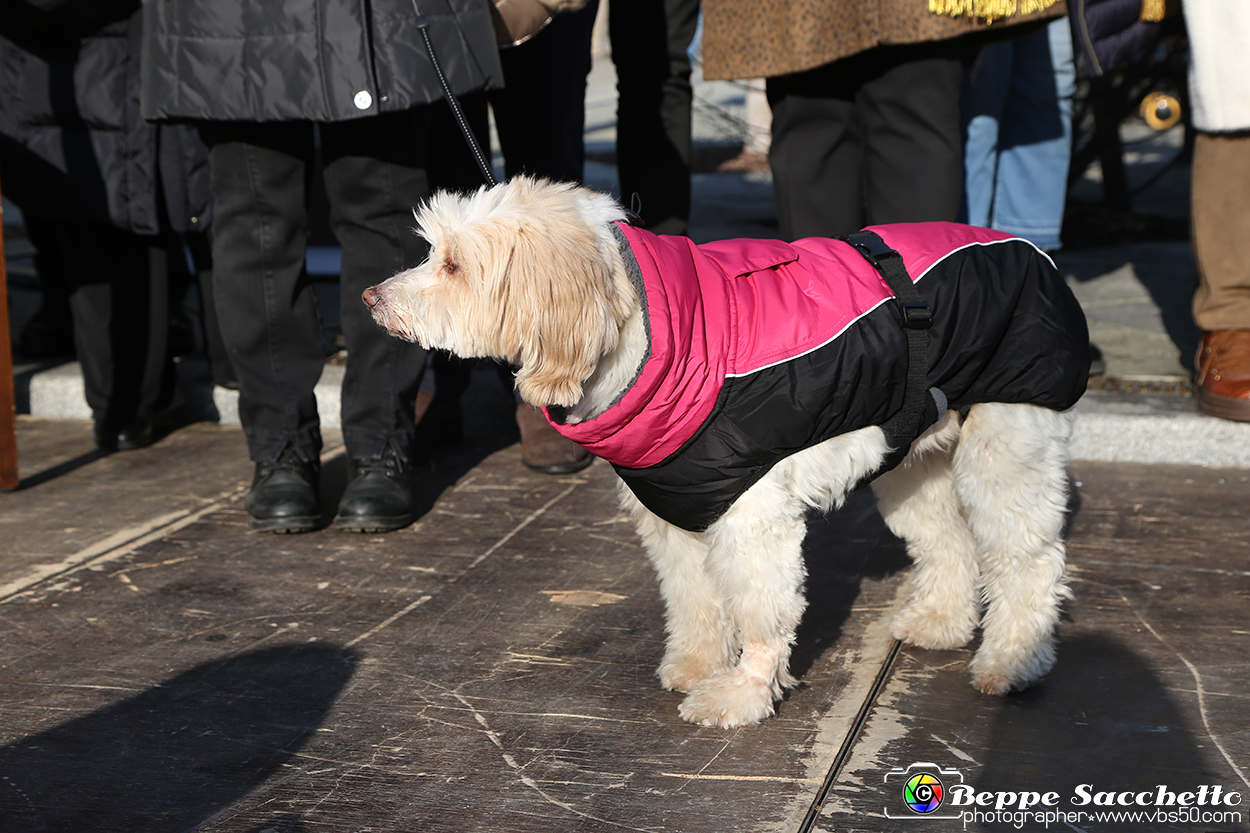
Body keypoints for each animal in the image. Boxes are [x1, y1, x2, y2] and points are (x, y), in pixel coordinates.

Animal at [362, 176, 1085, 725]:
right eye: (434, 252)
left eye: (453, 264)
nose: (369, 297)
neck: (655, 338)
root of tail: (1031, 251)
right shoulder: (678, 512)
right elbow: (694, 599)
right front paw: (696, 662)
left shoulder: (751, 517)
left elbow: (762, 609)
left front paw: (742, 694)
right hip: (913, 463)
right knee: (949, 543)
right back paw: (941, 622)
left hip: (1005, 452)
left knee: (1029, 560)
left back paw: (1012, 661)